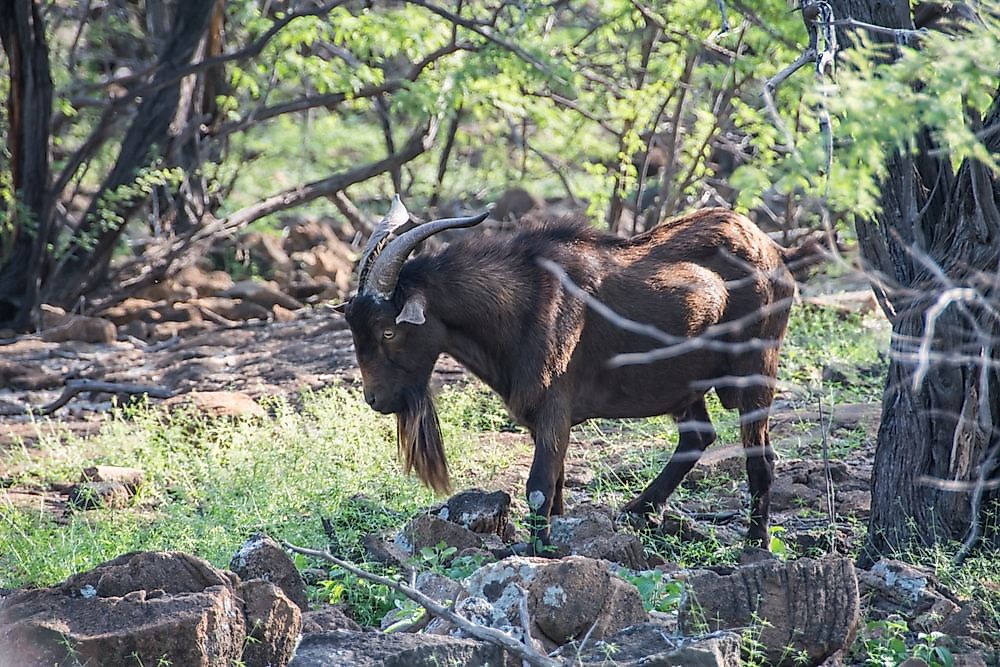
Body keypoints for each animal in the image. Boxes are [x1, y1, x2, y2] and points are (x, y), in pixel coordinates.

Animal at [340, 200, 808, 552]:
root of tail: (772, 251)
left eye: (388, 330)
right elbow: (558, 484)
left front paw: (539, 551)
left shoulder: (554, 406)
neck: (519, 302)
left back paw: (755, 543)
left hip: (756, 369)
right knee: (698, 437)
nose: (375, 399)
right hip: (682, 383)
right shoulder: (540, 417)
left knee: (760, 457)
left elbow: (538, 487)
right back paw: (638, 510)